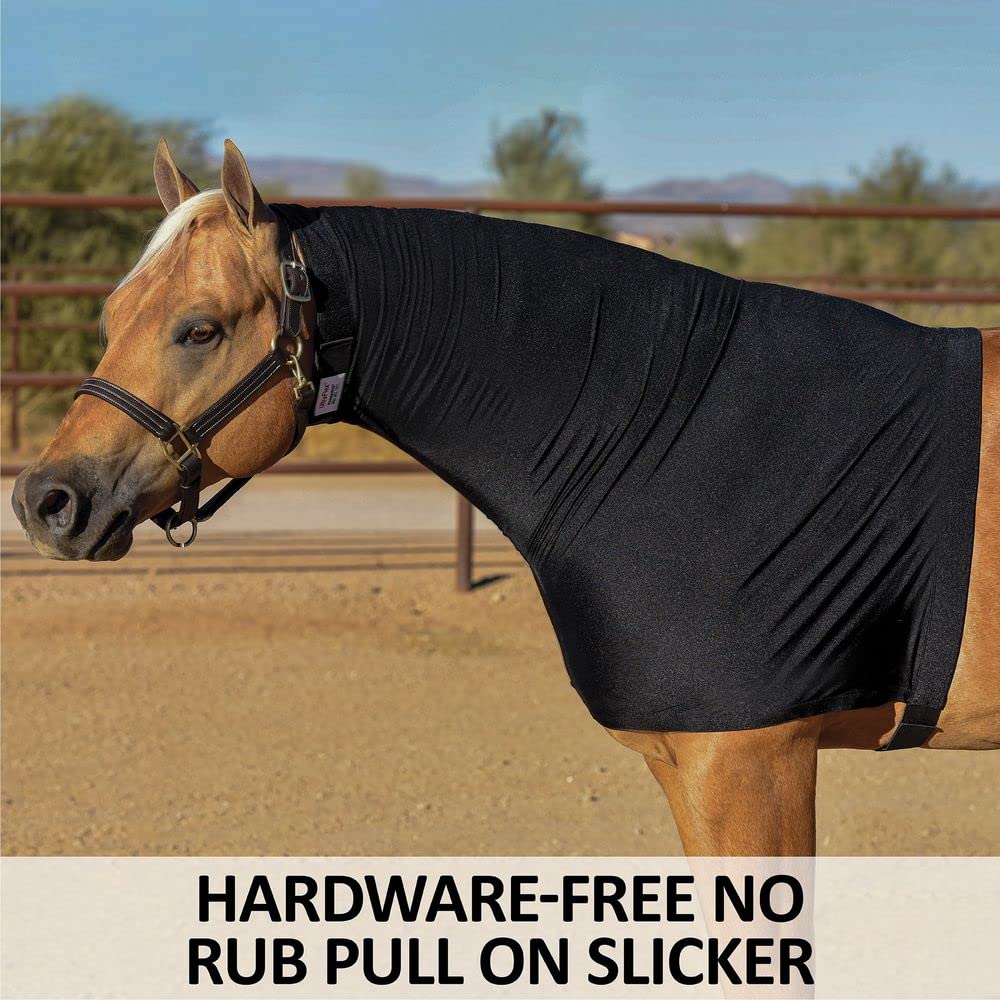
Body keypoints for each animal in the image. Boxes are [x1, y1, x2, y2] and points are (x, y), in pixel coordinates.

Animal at [11, 139, 998, 857]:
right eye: (110, 316)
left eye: (200, 330)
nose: (45, 501)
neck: (678, 432)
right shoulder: (693, 769)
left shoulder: (753, 763)